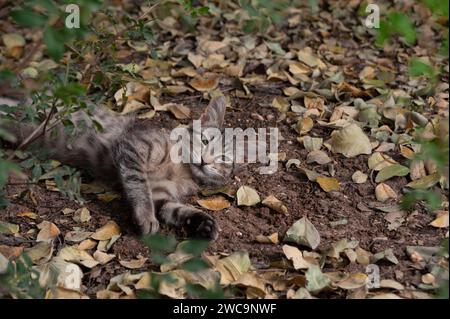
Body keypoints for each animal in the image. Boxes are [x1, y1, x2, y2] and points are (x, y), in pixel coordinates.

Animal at [0, 97, 232, 240]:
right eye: (204, 141)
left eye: (223, 159)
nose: (204, 161)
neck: (181, 169)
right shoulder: (132, 147)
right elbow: (139, 185)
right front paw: (145, 217)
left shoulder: (161, 196)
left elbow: (176, 210)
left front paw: (204, 223)